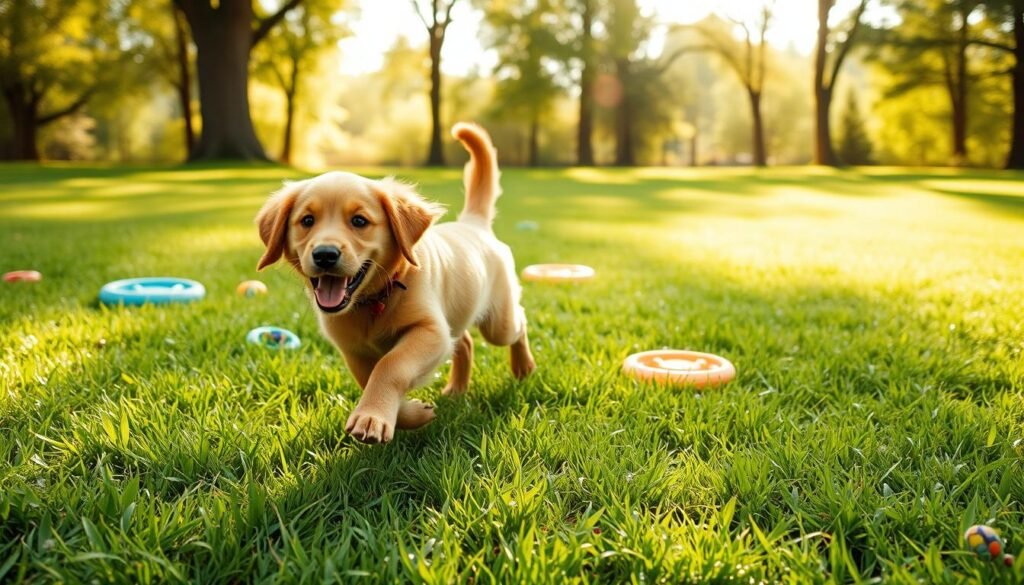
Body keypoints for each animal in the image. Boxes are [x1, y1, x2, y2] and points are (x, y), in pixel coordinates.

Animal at [254, 123, 536, 444]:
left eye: (359, 221)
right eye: (307, 221)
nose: (325, 254)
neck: (373, 299)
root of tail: (473, 224)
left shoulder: (430, 331)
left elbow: (391, 366)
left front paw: (372, 417)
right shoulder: (353, 350)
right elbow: (369, 378)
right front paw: (412, 414)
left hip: (498, 321)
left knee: (517, 323)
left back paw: (523, 365)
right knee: (463, 341)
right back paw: (456, 389)